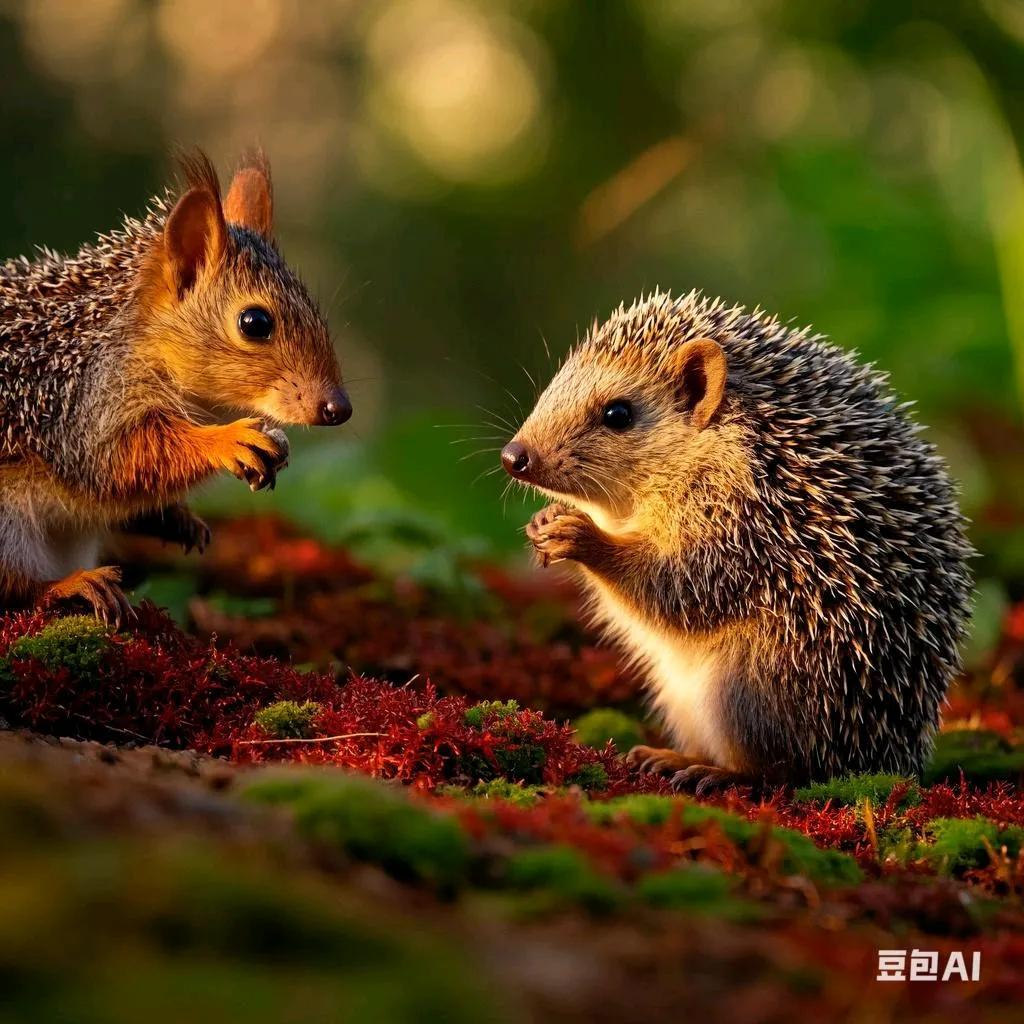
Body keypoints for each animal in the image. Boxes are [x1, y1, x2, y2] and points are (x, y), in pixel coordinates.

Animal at [0, 150, 350, 622]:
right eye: (255, 322)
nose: (338, 407)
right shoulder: (84, 407)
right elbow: (124, 457)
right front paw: (227, 440)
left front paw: (176, 515)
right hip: (8, 527)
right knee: (17, 586)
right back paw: (73, 584)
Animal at [503, 290, 974, 790]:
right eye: (556, 386)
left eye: (618, 413)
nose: (515, 456)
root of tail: (890, 757)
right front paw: (546, 520)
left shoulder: (745, 520)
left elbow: (679, 588)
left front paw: (582, 536)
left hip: (750, 684)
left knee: (783, 767)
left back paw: (710, 770)